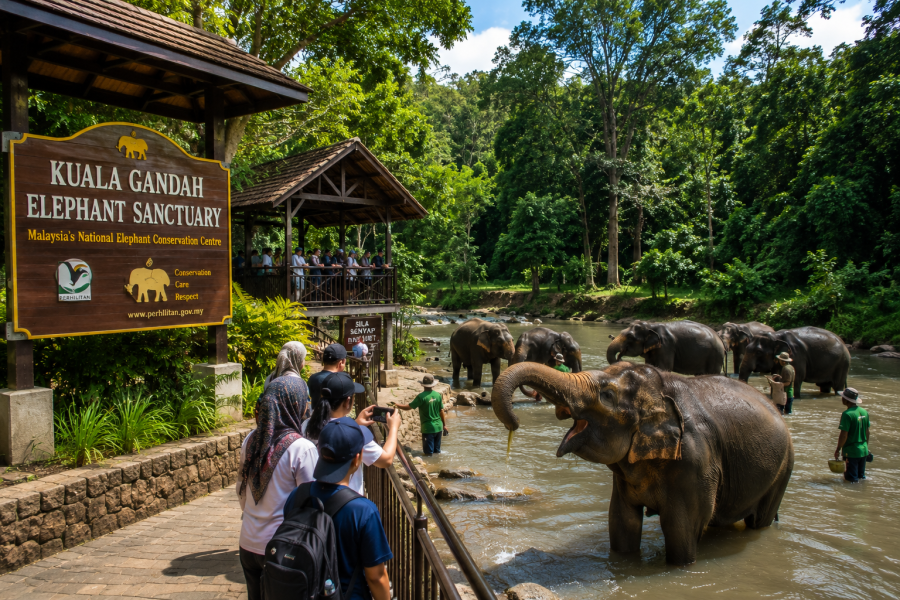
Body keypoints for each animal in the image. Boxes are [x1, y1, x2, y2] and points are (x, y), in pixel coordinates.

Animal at [491, 361, 794, 565]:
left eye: (607, 395)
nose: (514, 423)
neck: (659, 391)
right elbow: (622, 523)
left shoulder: (697, 463)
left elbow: (680, 532)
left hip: (783, 469)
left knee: (760, 521)